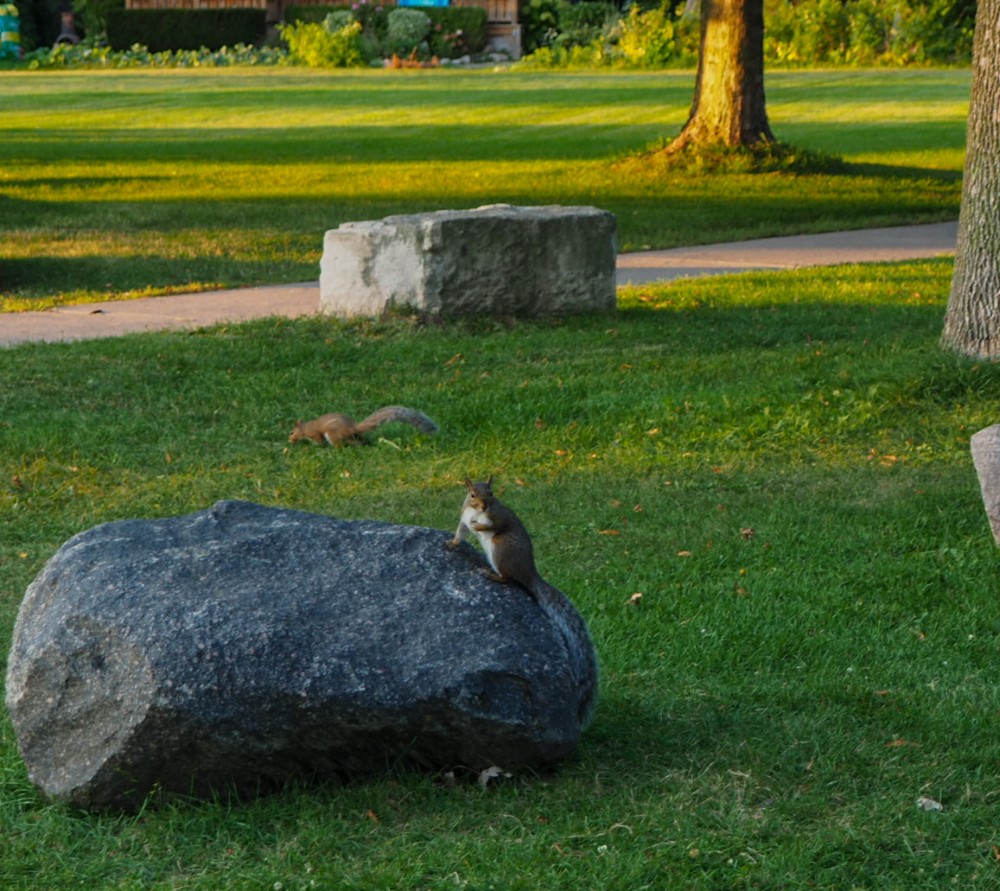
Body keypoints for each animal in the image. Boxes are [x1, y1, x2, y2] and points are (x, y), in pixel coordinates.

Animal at [288, 406, 438, 446]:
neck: (305, 428)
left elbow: (319, 440)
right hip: (353, 436)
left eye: (291, 432)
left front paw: (318, 447)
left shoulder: (315, 434)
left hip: (332, 434)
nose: (289, 440)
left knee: (340, 445)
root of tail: (351, 428)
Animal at [447, 476, 598, 728]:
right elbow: (461, 531)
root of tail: (530, 574)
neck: (477, 512)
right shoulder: (464, 517)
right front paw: (452, 543)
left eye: (491, 493)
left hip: (501, 548)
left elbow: (495, 524)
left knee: (509, 578)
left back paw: (493, 575)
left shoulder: (499, 516)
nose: (484, 506)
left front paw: (481, 527)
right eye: (472, 495)